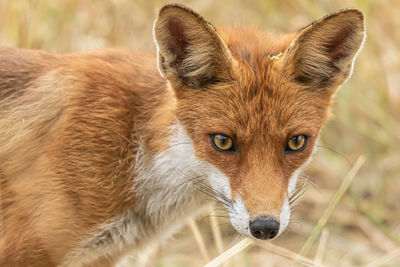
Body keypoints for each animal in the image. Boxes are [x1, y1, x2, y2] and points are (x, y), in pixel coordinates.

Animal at [0, 2, 366, 267]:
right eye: (222, 141)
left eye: (296, 142)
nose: (265, 227)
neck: (133, 150)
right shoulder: (25, 250)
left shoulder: (99, 257)